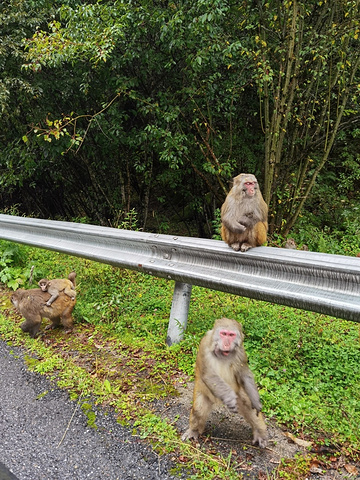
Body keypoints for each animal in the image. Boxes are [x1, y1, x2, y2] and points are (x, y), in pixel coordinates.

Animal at [183, 316, 268, 448]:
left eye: (231, 335)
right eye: (223, 334)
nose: (227, 344)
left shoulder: (241, 350)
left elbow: (244, 373)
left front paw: (255, 399)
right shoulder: (204, 345)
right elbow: (209, 374)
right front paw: (229, 398)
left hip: (239, 392)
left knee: (250, 409)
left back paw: (260, 433)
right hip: (204, 392)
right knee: (198, 410)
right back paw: (194, 431)